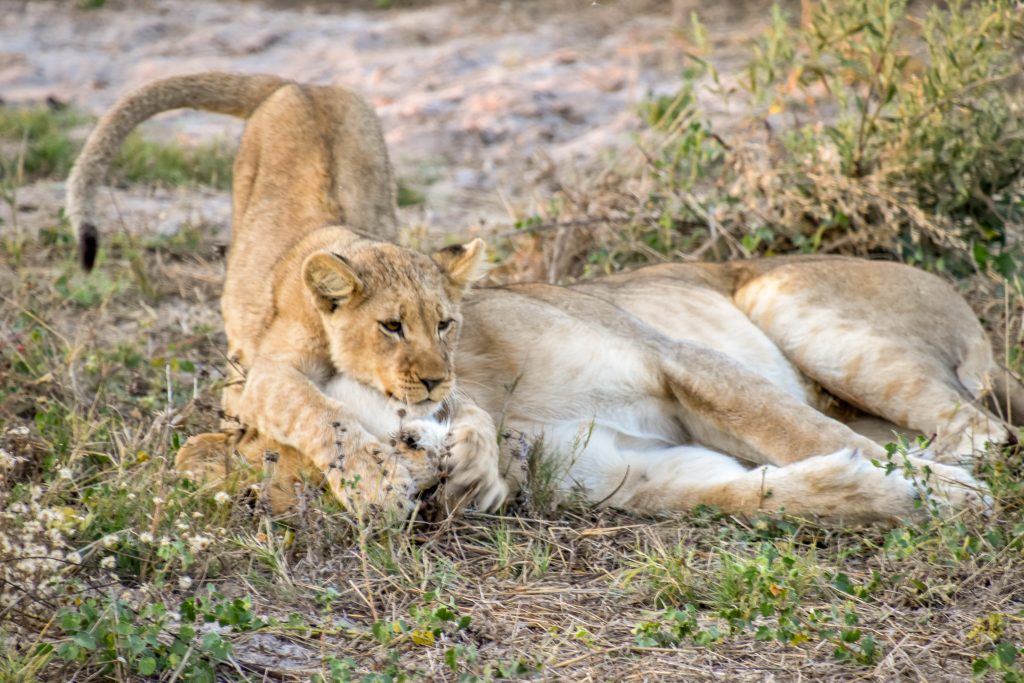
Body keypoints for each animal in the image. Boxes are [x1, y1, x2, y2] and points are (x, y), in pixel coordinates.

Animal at [70, 72, 1021, 523]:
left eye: (441, 328)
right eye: (298, 489)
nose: (429, 493)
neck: (508, 417)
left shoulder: (676, 357)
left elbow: (802, 432)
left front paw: (950, 496)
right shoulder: (641, 470)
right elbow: (769, 487)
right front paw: (894, 497)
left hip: (792, 300)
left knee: (982, 430)